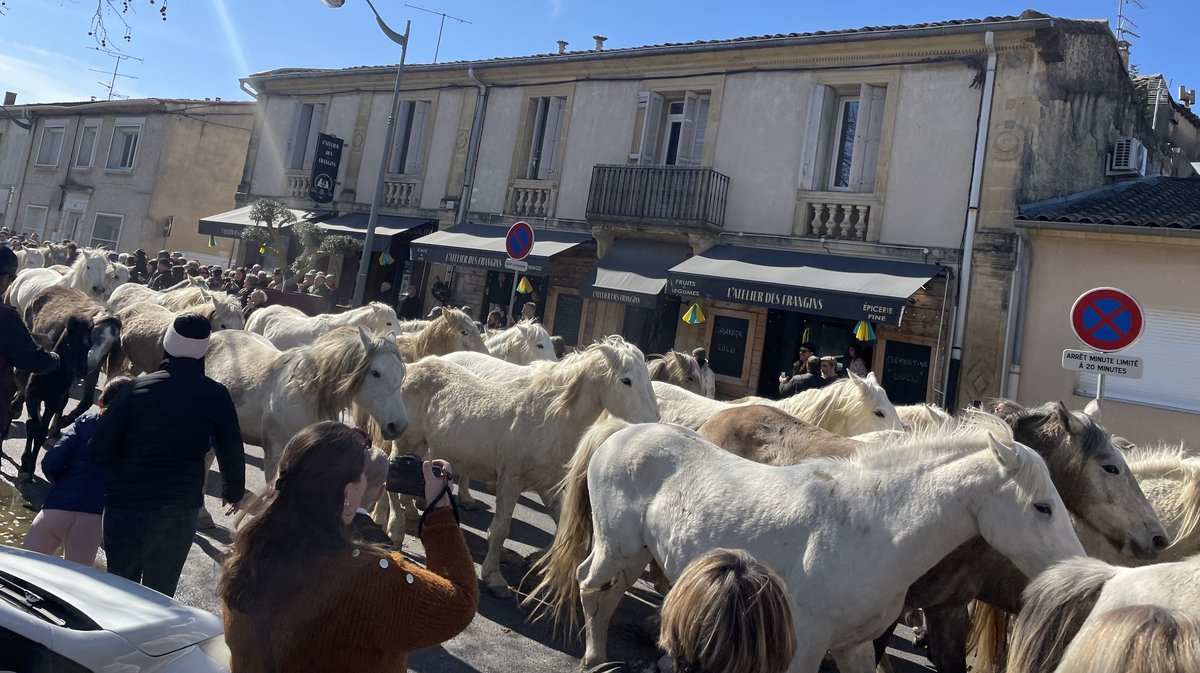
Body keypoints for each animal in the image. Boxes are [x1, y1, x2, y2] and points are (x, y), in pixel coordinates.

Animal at [396, 343, 657, 595]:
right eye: (626, 380)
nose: (651, 424)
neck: (548, 417)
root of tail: (413, 367)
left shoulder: (548, 487)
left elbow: (561, 523)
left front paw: (537, 560)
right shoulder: (511, 481)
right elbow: (501, 529)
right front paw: (494, 577)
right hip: (409, 442)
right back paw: (408, 517)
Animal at [530, 410, 1084, 671]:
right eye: (1043, 506)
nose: (1077, 569)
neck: (874, 529)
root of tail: (622, 434)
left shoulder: (856, 647)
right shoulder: (806, 646)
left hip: (637, 553)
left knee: (609, 594)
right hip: (616, 549)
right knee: (590, 587)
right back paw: (592, 657)